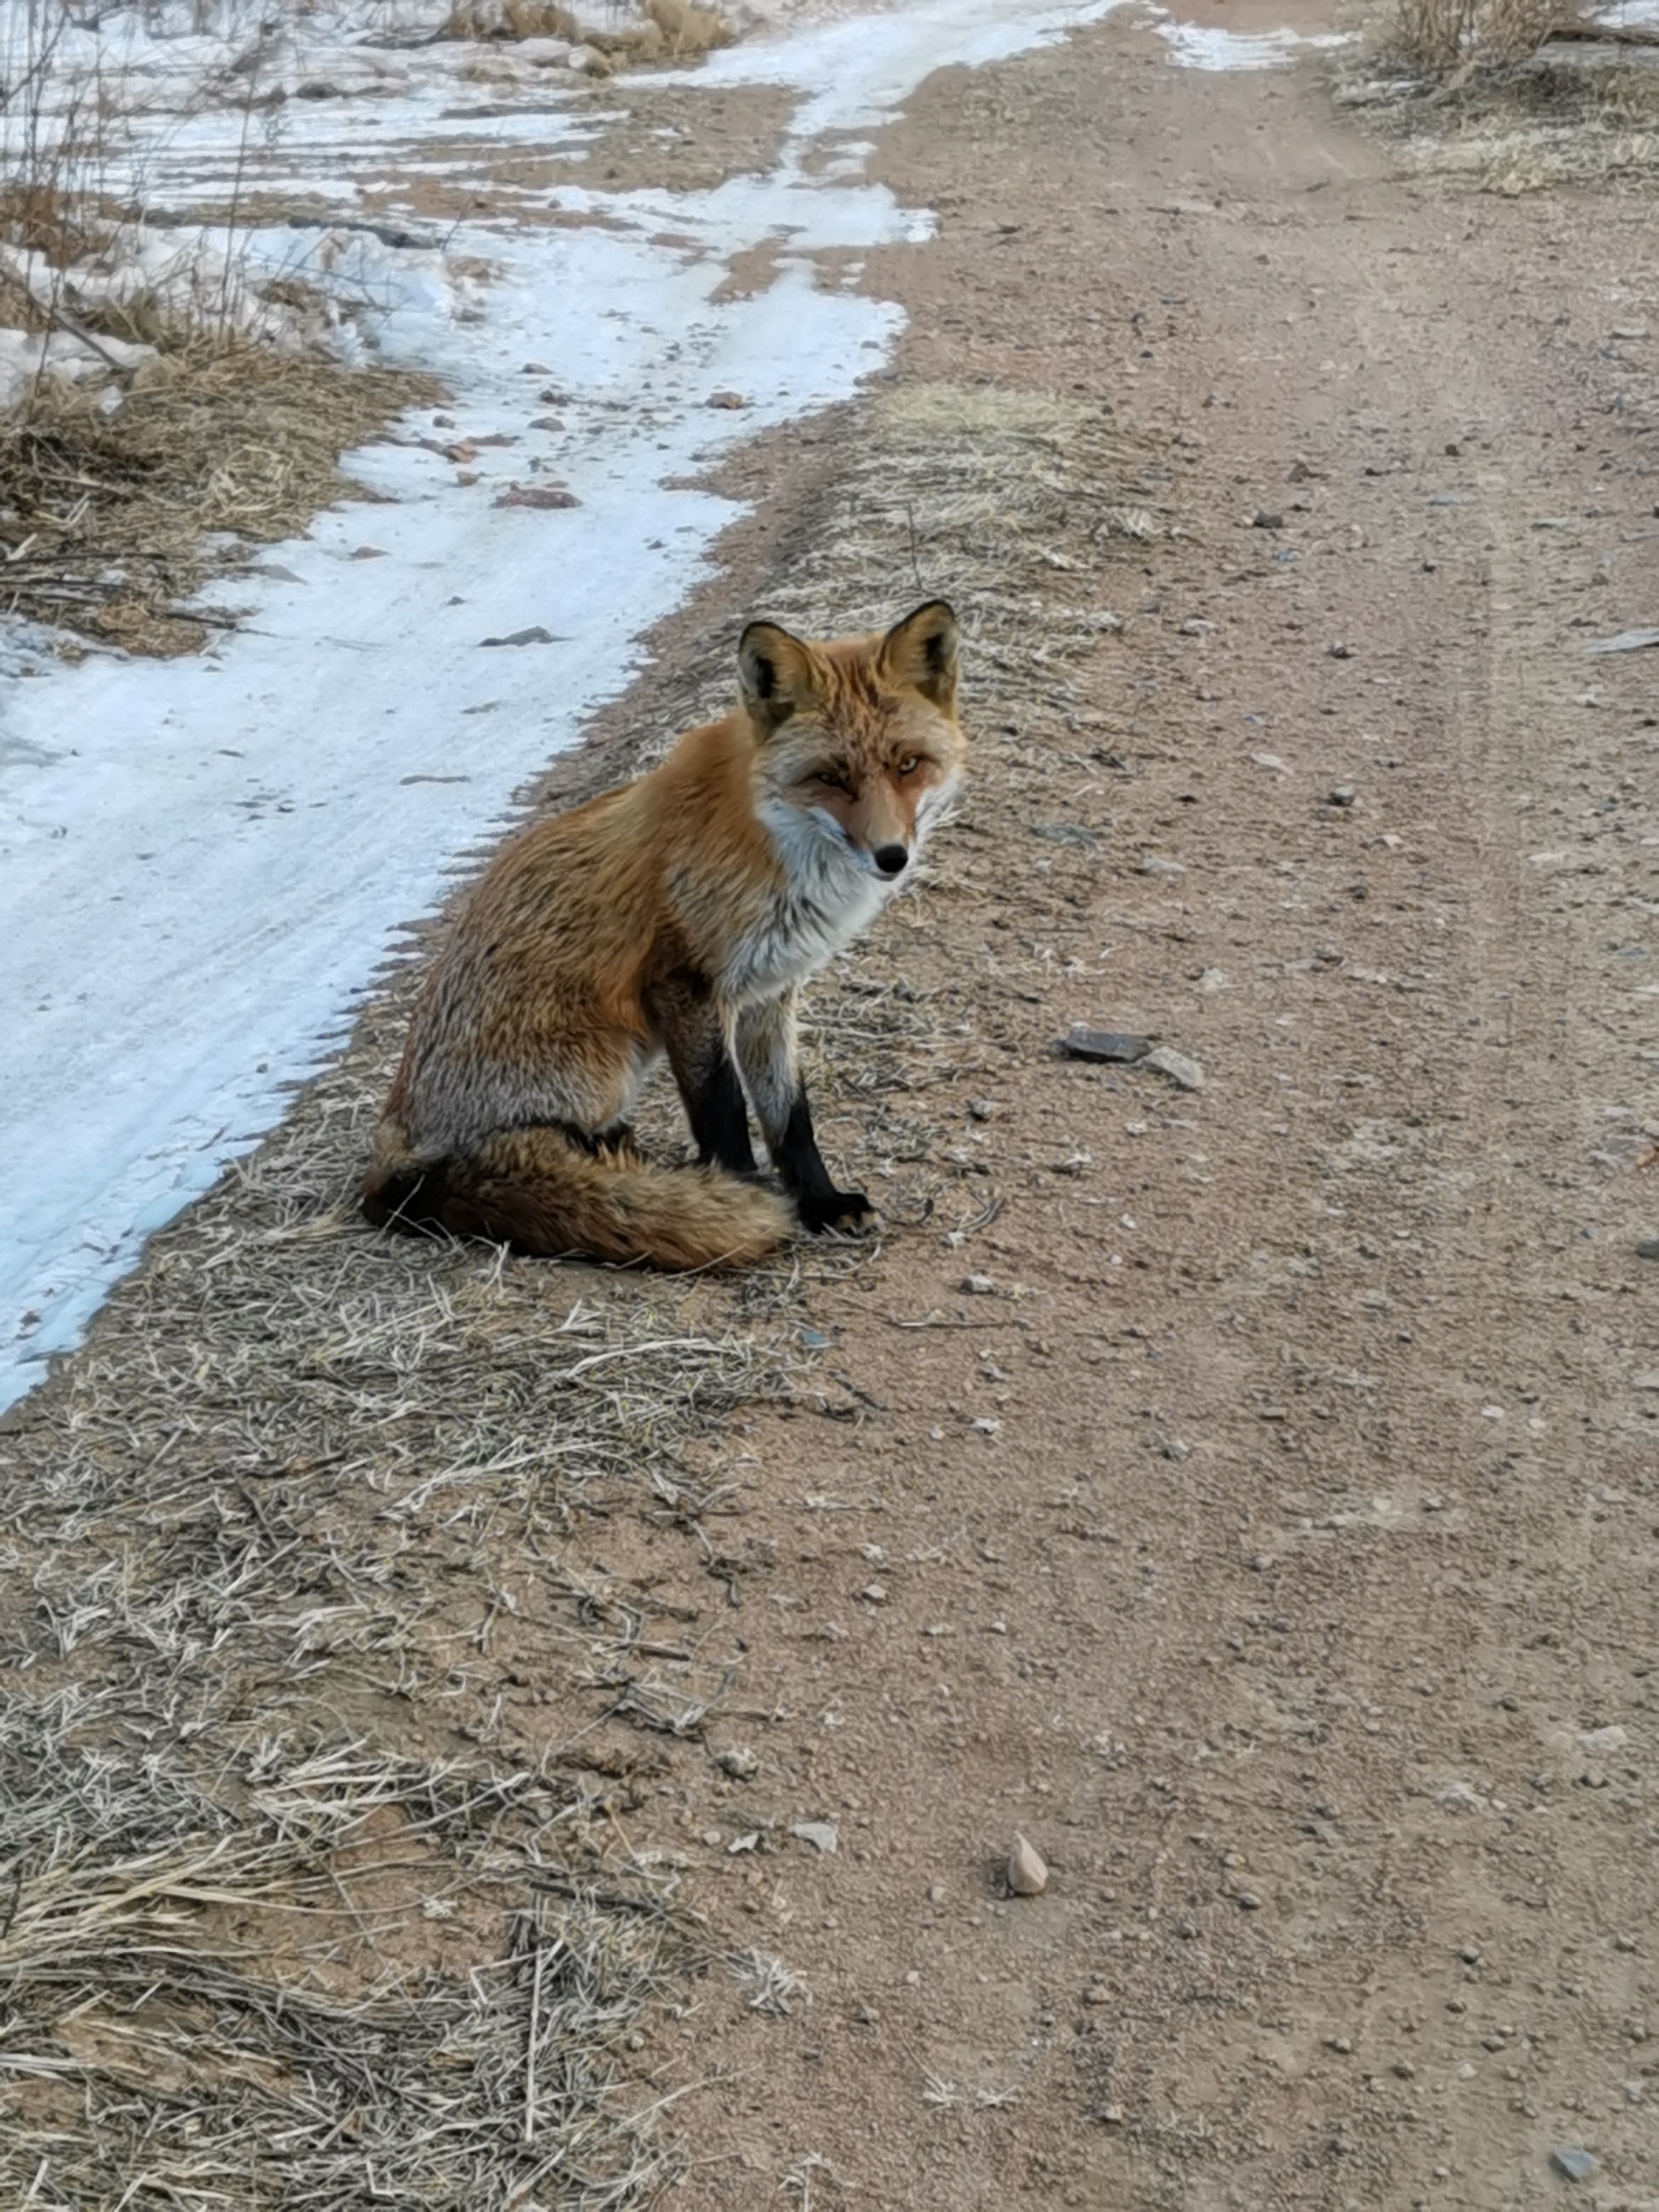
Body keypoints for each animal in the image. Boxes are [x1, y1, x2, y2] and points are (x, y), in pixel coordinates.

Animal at [360, 597, 960, 1274]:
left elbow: (789, 1116)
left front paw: (822, 1203)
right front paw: (738, 1196)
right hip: (602, 1064)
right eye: (830, 777)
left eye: (907, 765)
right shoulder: (687, 985)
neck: (771, 846)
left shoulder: (771, 992)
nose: (892, 857)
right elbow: (723, 1109)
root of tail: (393, 1152)